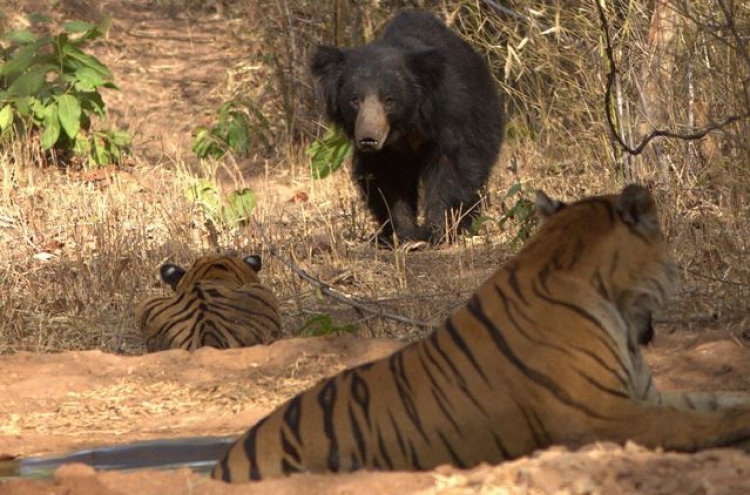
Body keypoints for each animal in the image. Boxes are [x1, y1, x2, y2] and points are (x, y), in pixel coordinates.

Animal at [312, 10, 506, 244]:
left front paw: (434, 232)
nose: (368, 139)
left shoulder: (449, 115)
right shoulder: (388, 152)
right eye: (354, 100)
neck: (406, 126)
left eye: (389, 100)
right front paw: (404, 234)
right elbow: (388, 180)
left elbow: (451, 167)